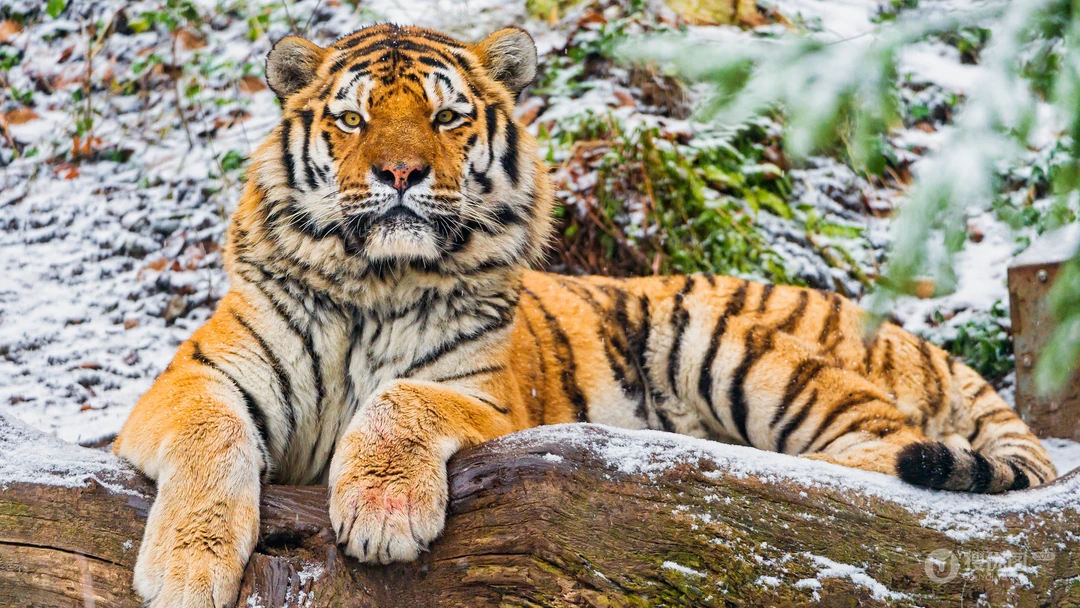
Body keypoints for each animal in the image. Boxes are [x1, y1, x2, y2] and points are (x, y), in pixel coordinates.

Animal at [112, 23, 1056, 607]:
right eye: (351, 118)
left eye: (447, 115)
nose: (401, 174)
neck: (377, 283)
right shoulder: (192, 382)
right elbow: (214, 440)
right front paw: (187, 570)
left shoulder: (488, 398)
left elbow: (397, 401)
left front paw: (381, 512)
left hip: (733, 347)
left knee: (873, 460)